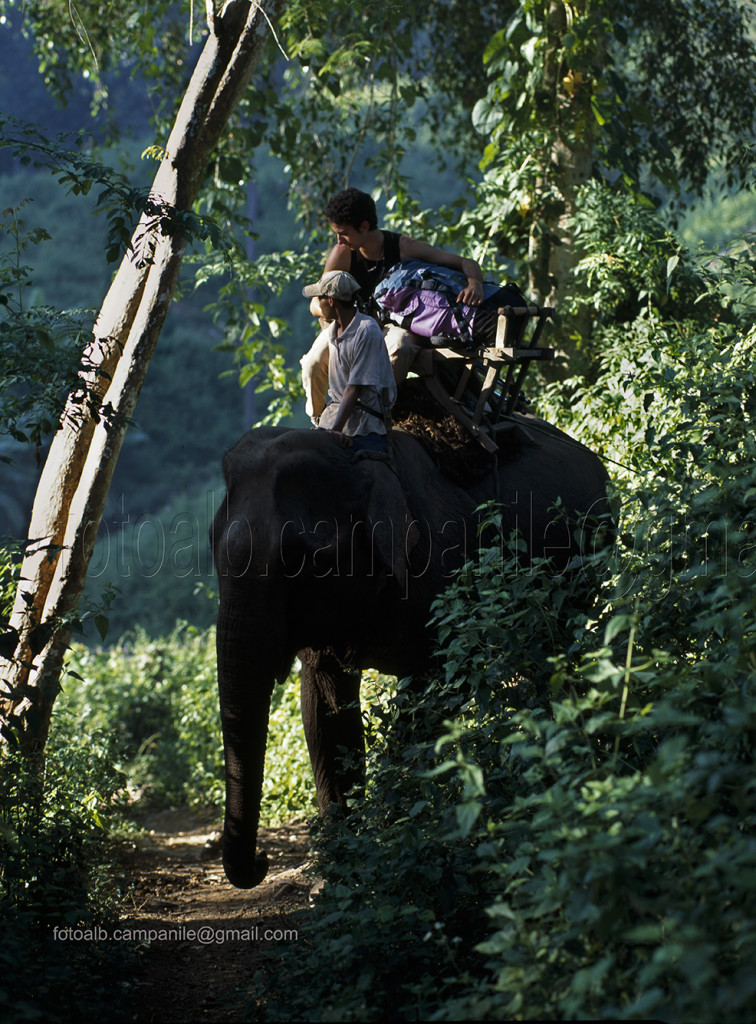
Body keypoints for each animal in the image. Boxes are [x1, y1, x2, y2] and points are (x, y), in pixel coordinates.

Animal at [208, 415, 610, 888]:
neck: (358, 457)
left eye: (304, 557)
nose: (262, 861)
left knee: (556, 653)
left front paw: (393, 841)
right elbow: (325, 712)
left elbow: (430, 696)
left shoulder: (443, 575)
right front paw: (338, 871)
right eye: (211, 546)